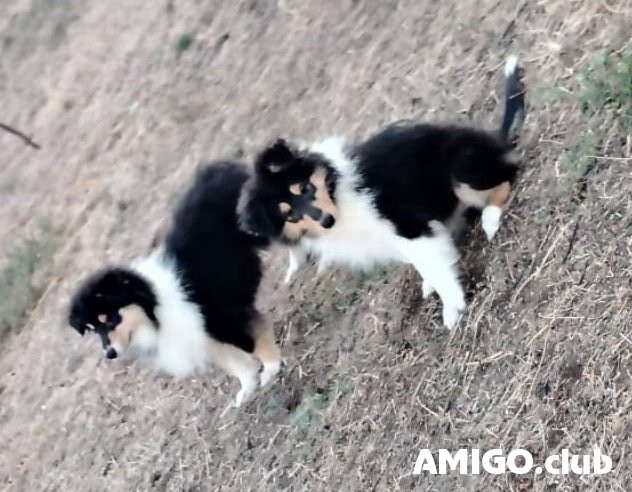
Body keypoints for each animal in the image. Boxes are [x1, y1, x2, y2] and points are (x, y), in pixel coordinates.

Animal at [67, 161, 282, 408]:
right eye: (93, 329)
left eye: (112, 319)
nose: (109, 354)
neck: (155, 306)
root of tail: (217, 169)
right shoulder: (201, 336)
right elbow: (234, 364)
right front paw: (247, 389)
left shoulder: (223, 319)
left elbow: (255, 340)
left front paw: (271, 369)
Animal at [237, 55, 524, 328]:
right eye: (290, 216)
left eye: (305, 188)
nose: (327, 221)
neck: (337, 192)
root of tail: (496, 141)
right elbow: (429, 264)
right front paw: (440, 288)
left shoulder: (405, 225)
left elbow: (433, 267)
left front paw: (452, 308)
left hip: (461, 168)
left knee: (505, 178)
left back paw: (490, 218)